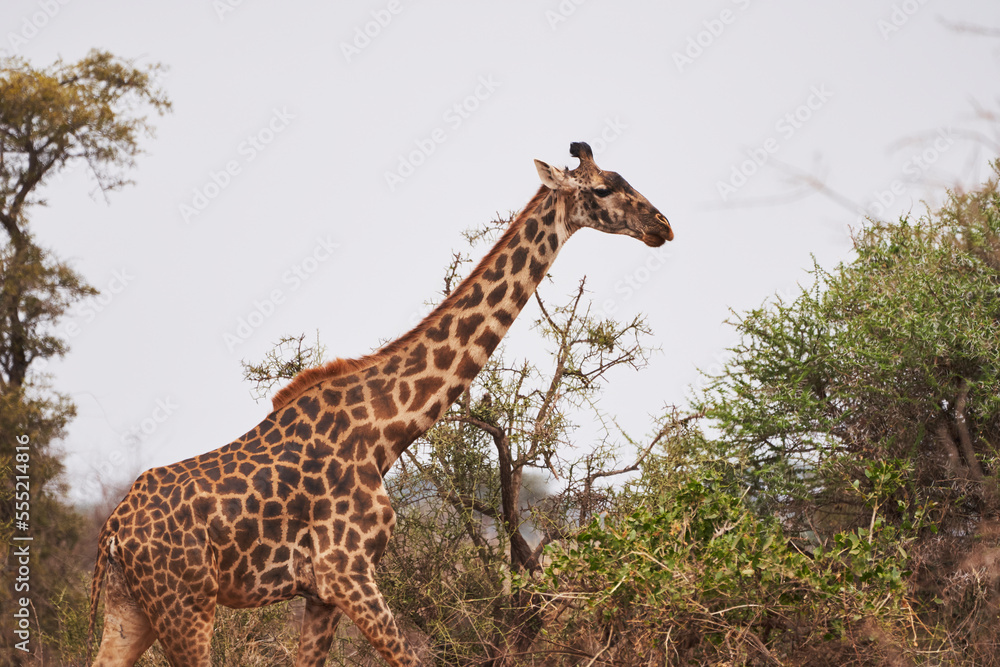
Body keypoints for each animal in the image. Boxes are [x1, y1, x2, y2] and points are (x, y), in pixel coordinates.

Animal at [88, 141, 673, 667]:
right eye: (603, 188)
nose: (663, 226)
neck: (387, 429)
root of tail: (114, 533)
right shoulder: (347, 573)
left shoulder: (322, 593)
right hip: (186, 605)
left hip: (130, 611)